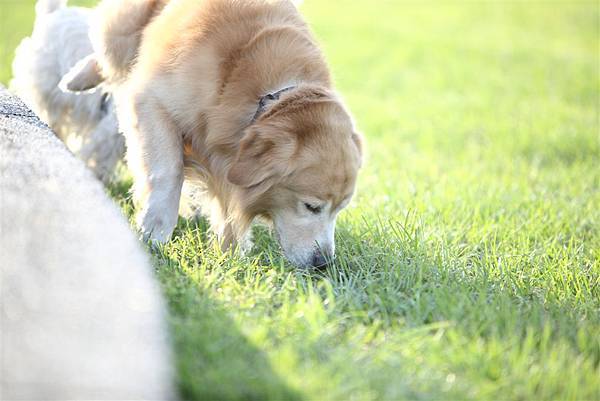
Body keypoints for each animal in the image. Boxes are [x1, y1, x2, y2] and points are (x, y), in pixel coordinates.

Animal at [63, 0, 364, 268]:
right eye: (311, 206)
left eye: (340, 209)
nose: (323, 264)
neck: (267, 96)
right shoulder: (152, 100)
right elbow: (168, 172)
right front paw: (154, 234)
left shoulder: (227, 161)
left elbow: (229, 204)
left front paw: (229, 255)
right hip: (122, 29)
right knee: (110, 53)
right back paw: (76, 77)